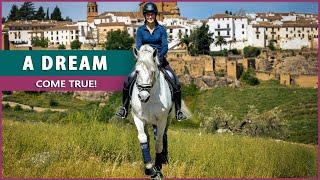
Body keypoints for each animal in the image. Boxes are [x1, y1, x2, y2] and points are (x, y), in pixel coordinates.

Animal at [131, 44, 174, 179]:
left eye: (153, 72)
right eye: (137, 71)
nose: (143, 96)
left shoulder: (161, 120)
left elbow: (159, 142)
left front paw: (158, 169)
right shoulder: (138, 118)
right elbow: (143, 139)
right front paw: (149, 168)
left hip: (167, 120)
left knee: (162, 136)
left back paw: (163, 159)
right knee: (150, 137)